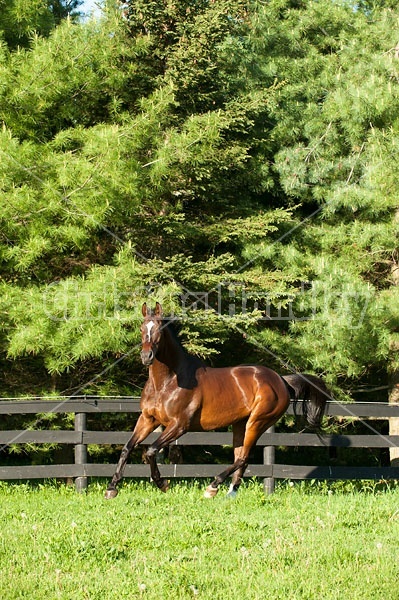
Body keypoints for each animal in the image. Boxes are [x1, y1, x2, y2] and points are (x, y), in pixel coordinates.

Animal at [104, 302, 330, 500]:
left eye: (160, 328)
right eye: (142, 327)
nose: (146, 356)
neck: (168, 382)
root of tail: (281, 380)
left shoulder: (179, 425)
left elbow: (150, 450)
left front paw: (162, 483)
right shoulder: (148, 419)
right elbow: (127, 448)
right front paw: (112, 488)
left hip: (257, 422)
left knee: (243, 457)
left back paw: (212, 487)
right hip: (240, 424)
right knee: (241, 458)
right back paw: (230, 493)